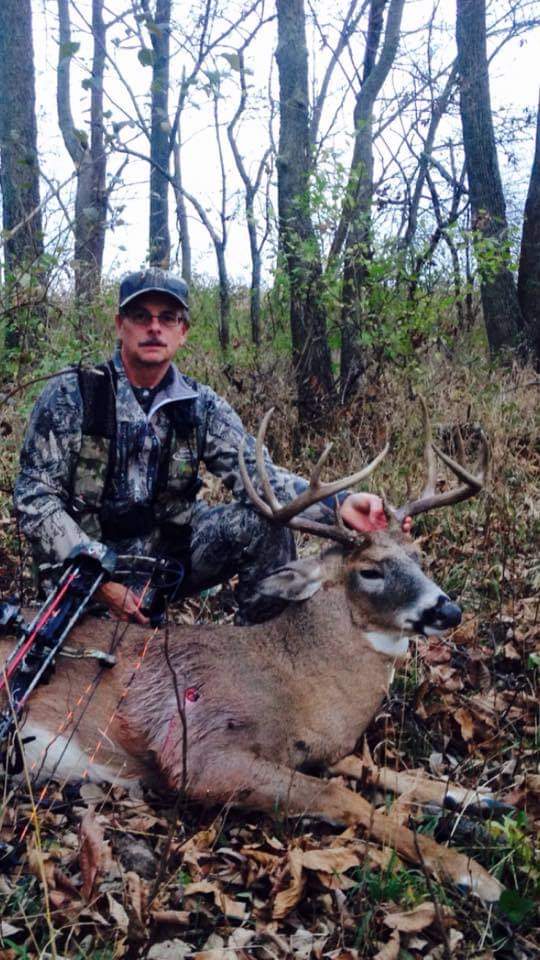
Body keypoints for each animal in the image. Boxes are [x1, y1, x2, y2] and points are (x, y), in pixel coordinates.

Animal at [0, 404, 503, 902]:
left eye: (417, 555)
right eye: (370, 571)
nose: (448, 610)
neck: (297, 683)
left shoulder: (323, 748)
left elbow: (377, 771)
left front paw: (480, 798)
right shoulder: (198, 753)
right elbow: (344, 796)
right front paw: (470, 872)